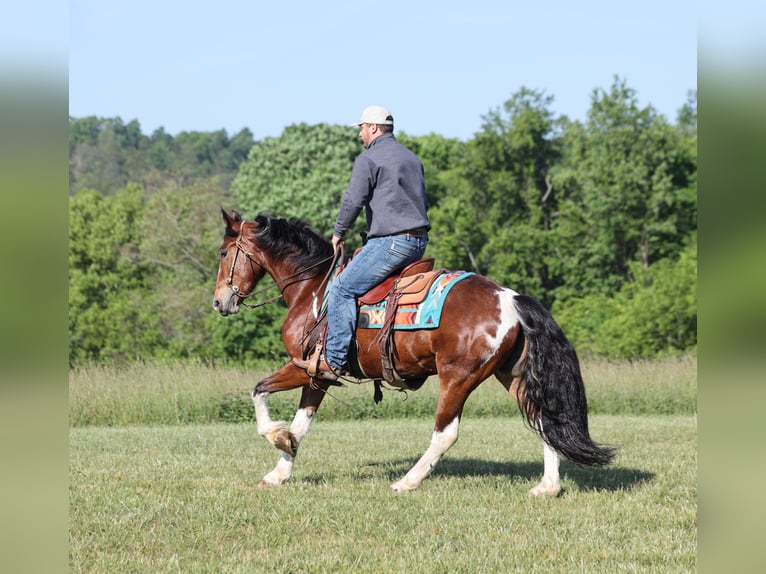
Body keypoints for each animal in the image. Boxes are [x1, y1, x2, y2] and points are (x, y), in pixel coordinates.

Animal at [212, 209, 616, 495]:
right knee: (544, 419)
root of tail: (511, 299)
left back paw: (407, 481)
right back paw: (548, 487)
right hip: (511, 376)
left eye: (222, 252)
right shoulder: (318, 375)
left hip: (457, 377)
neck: (312, 289)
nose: (219, 301)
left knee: (445, 433)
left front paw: (277, 437)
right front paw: (280, 469)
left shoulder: (306, 366)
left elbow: (259, 392)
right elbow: (302, 424)